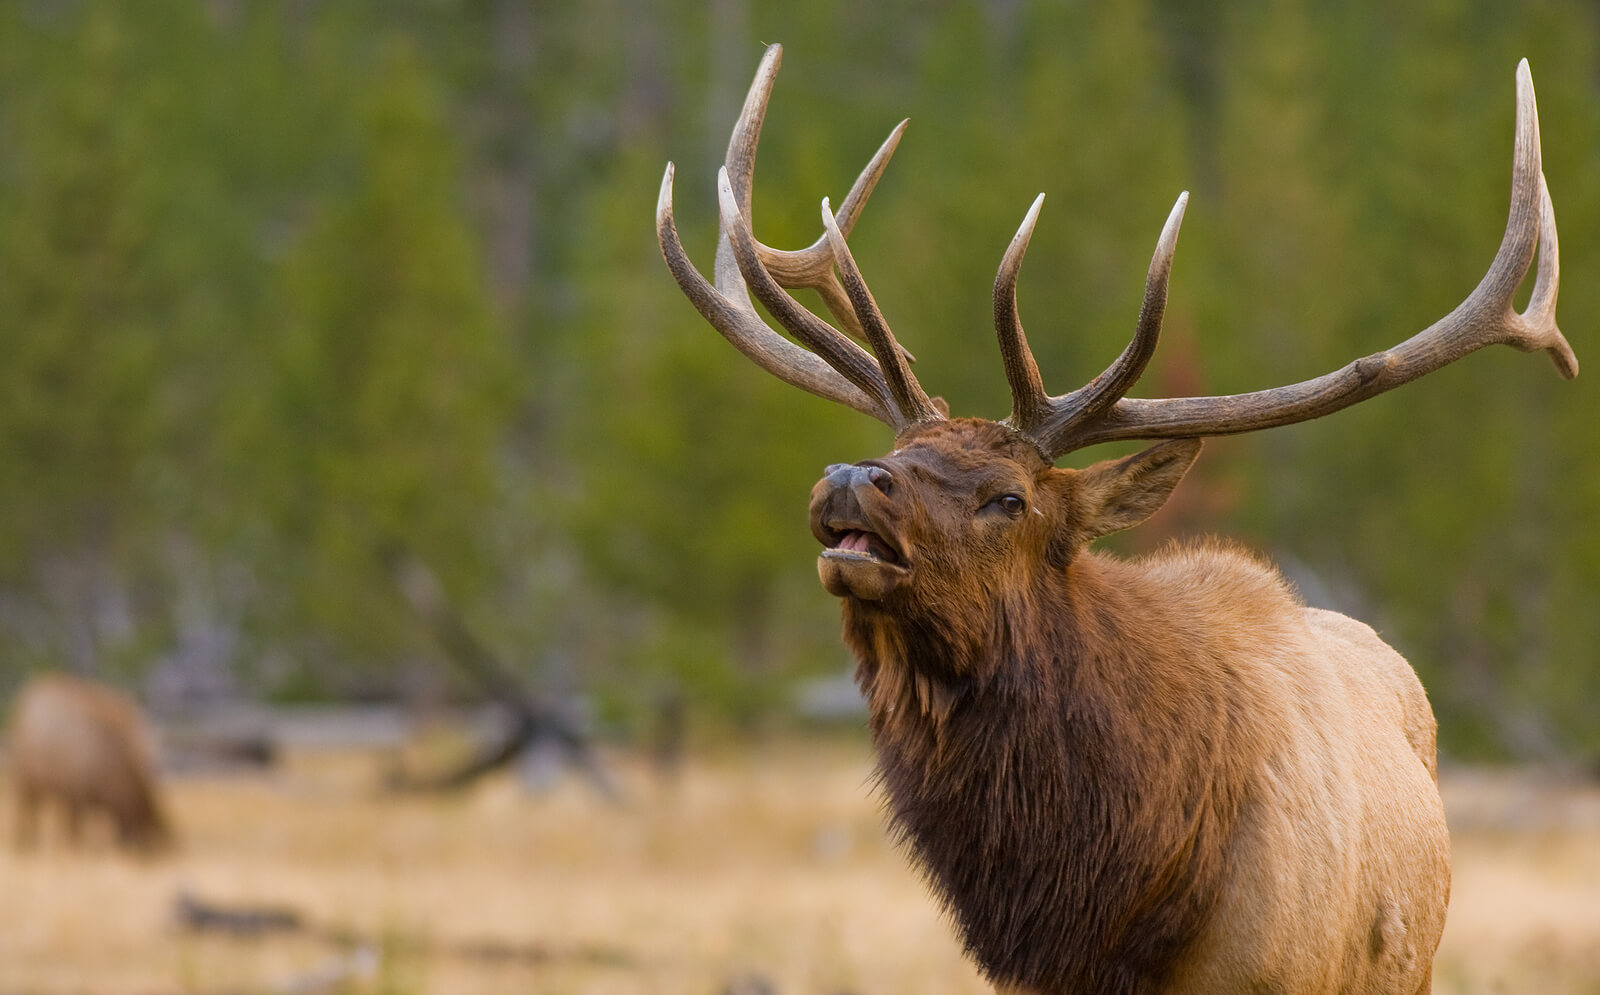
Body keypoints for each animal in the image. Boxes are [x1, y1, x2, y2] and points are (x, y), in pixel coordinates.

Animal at [5, 678, 173, 857]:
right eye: (150, 840)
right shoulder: (76, 797)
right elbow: (75, 828)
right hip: (26, 783)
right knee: (26, 811)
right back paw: (25, 842)